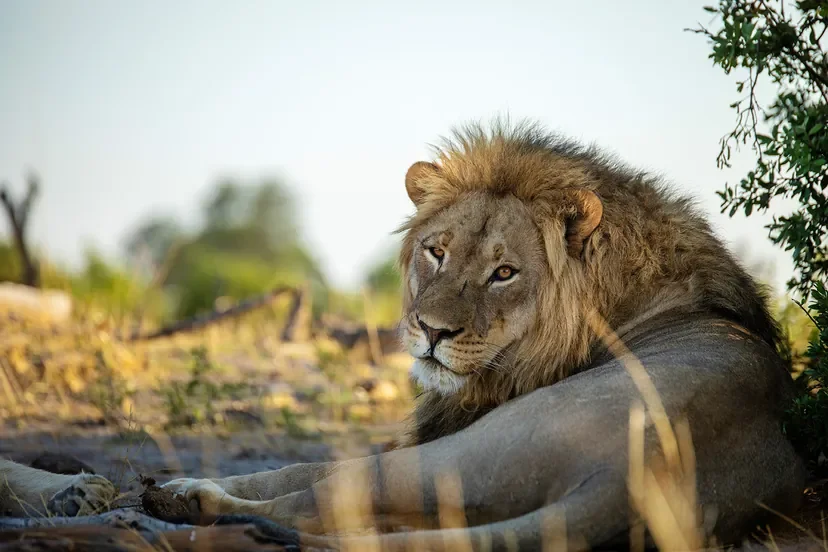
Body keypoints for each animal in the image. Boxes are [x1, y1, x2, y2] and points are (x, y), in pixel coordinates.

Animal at [3, 120, 806, 550]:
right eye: (436, 252)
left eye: (504, 273)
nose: (431, 332)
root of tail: (647, 480)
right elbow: (288, 467)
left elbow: (298, 474)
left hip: (474, 450)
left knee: (319, 498)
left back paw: (189, 508)